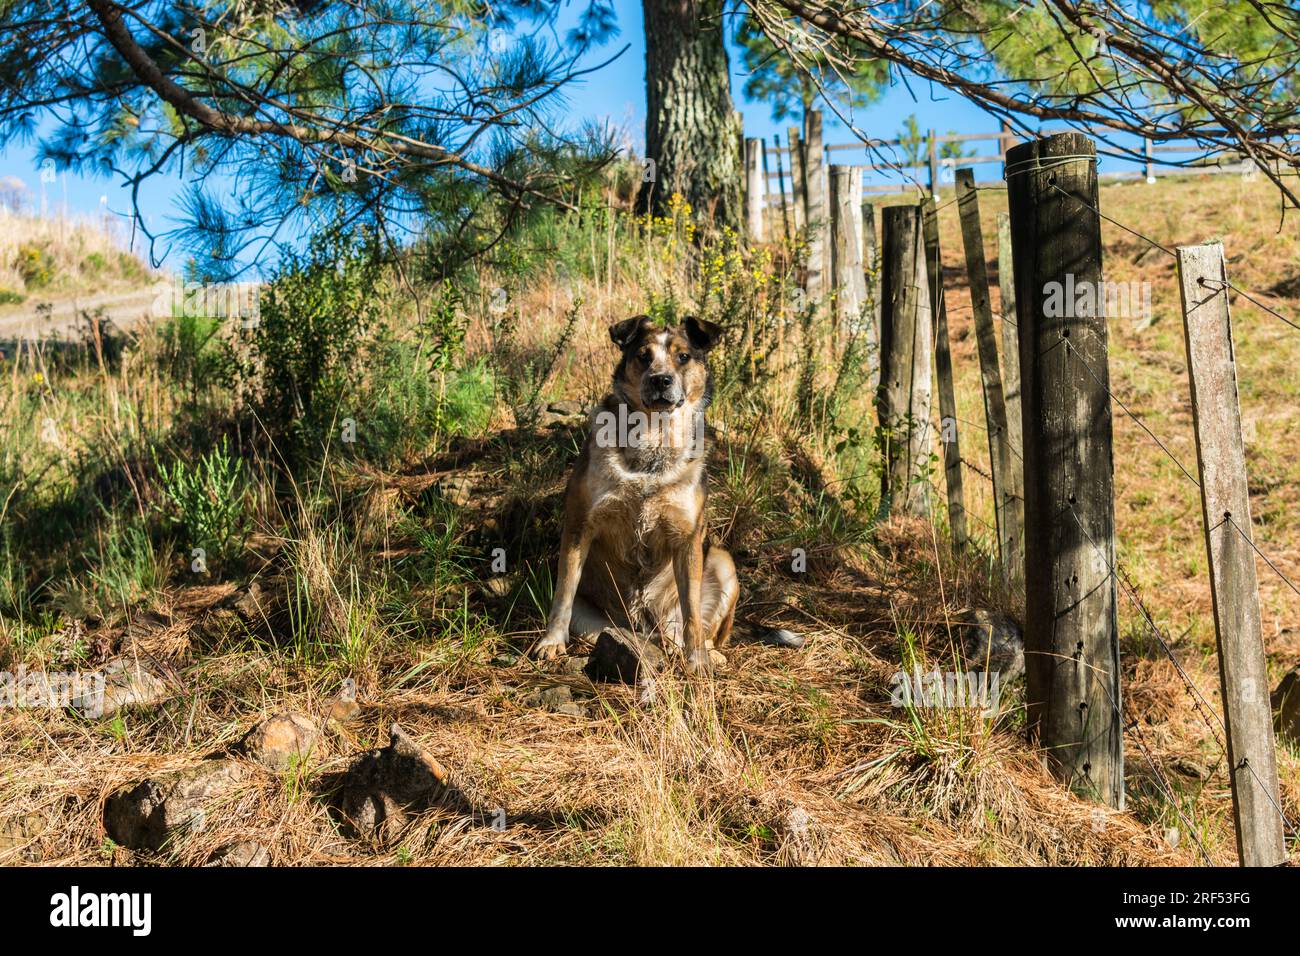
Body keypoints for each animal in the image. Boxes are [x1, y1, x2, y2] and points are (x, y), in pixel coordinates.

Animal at [533, 314, 743, 671]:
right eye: (643, 356)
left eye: (683, 356)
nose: (660, 380)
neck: (654, 440)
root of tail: (646, 626)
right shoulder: (579, 524)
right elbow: (563, 594)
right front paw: (551, 642)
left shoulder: (688, 538)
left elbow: (691, 611)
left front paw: (698, 661)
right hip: (600, 621)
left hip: (722, 561)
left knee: (692, 629)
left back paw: (704, 653)